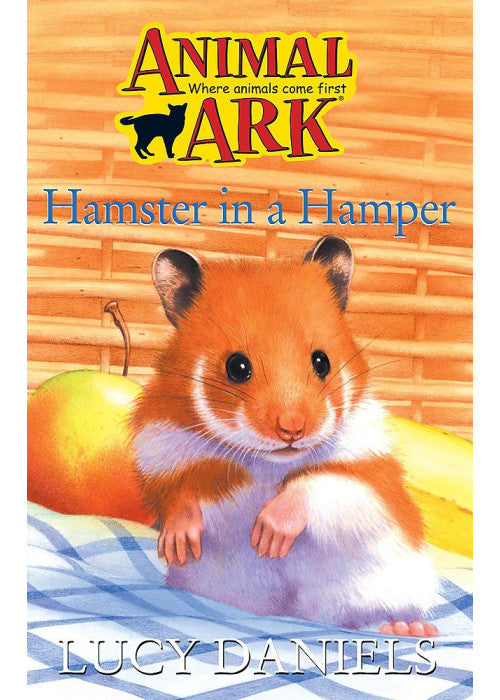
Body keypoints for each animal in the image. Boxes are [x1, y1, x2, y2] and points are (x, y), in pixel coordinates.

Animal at [131, 235, 439, 636]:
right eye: (236, 367)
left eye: (322, 361)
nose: (292, 430)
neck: (268, 462)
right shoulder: (160, 450)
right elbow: (178, 494)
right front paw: (178, 544)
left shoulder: (371, 480)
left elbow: (317, 487)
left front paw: (268, 538)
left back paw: (407, 628)